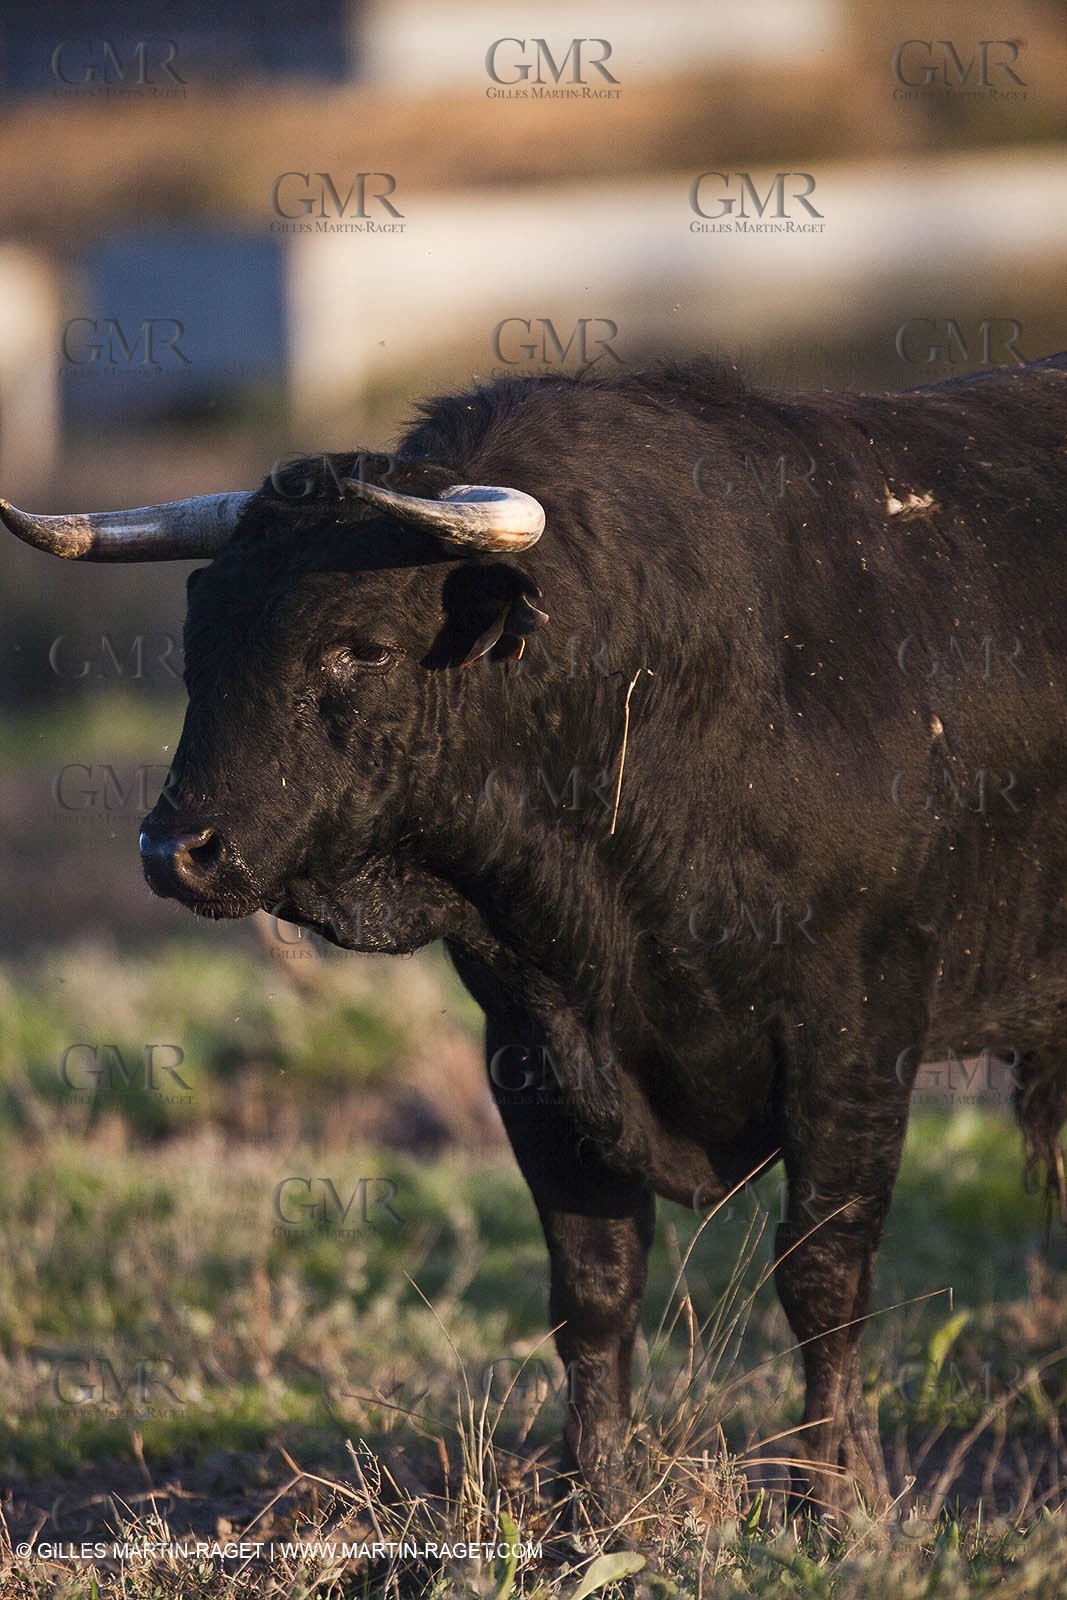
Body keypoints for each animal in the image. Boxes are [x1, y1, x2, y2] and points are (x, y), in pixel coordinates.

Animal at [5, 353, 1067, 1529]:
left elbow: (822, 1278)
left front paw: (829, 1506)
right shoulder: (533, 1043)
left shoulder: (855, 1032)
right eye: (199, 648)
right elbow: (592, 1288)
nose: (174, 847)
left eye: (360, 645)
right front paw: (589, 1511)